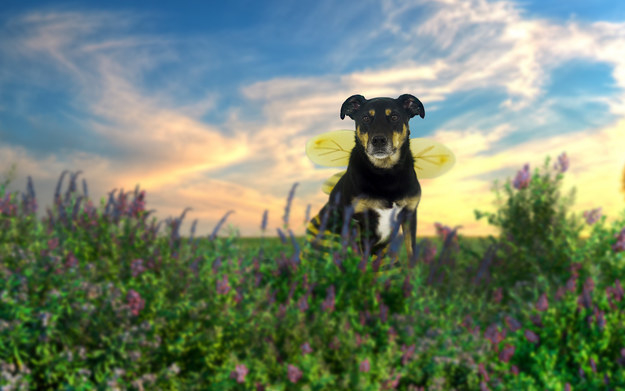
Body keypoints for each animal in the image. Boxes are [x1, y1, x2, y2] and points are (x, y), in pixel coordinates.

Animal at [306, 93, 424, 262]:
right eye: (366, 118)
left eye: (394, 117)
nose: (379, 140)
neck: (385, 174)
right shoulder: (357, 221)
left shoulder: (409, 215)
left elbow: (411, 253)